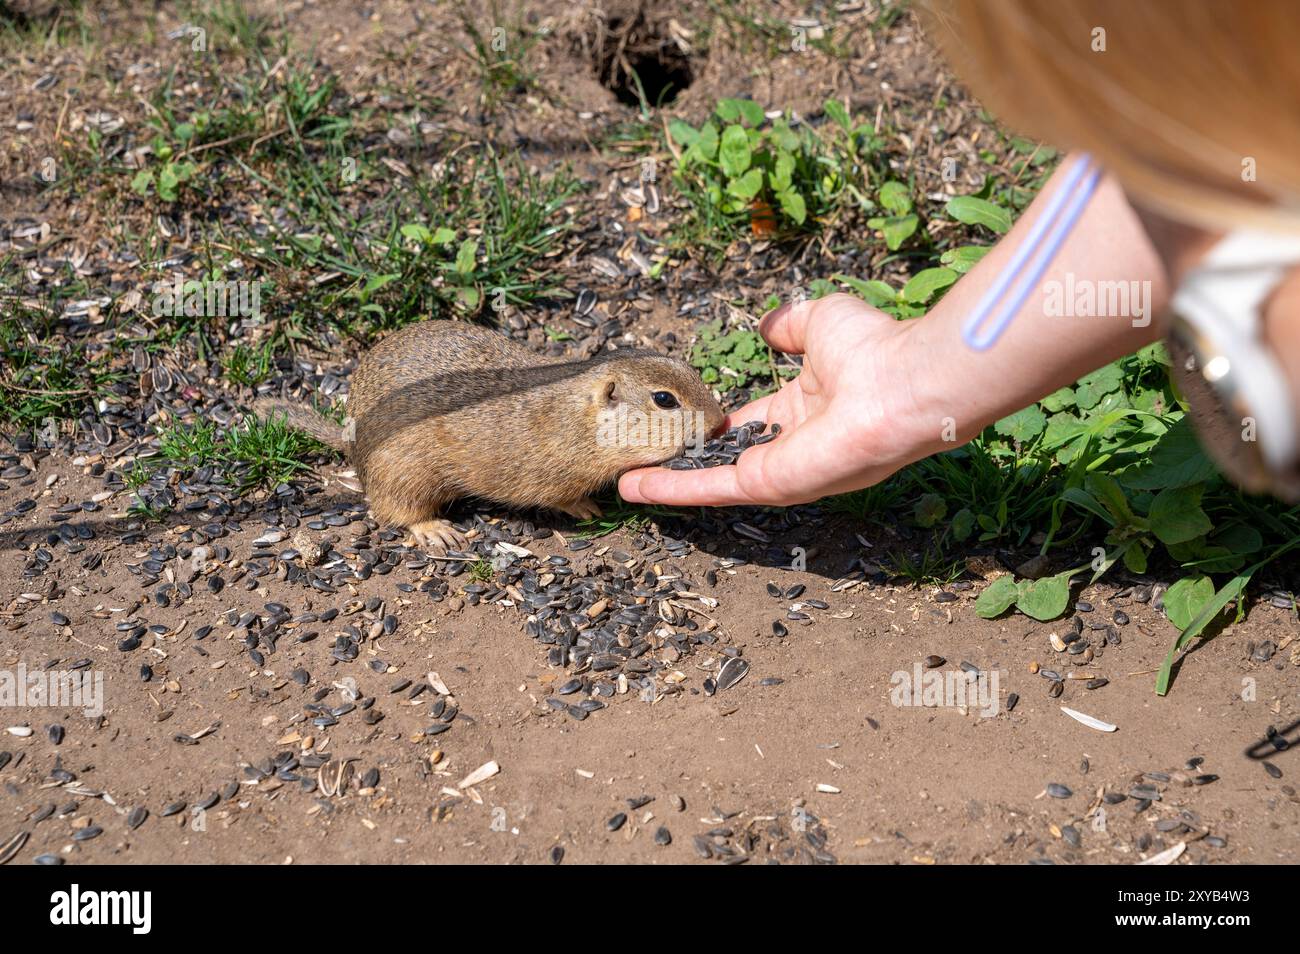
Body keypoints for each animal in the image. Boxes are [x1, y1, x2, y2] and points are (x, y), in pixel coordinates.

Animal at [253, 321, 722, 548]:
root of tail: (348, 439)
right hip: (402, 475)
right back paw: (435, 531)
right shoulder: (551, 474)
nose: (721, 423)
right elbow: (562, 497)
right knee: (394, 510)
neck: (576, 417)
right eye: (664, 399)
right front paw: (588, 507)